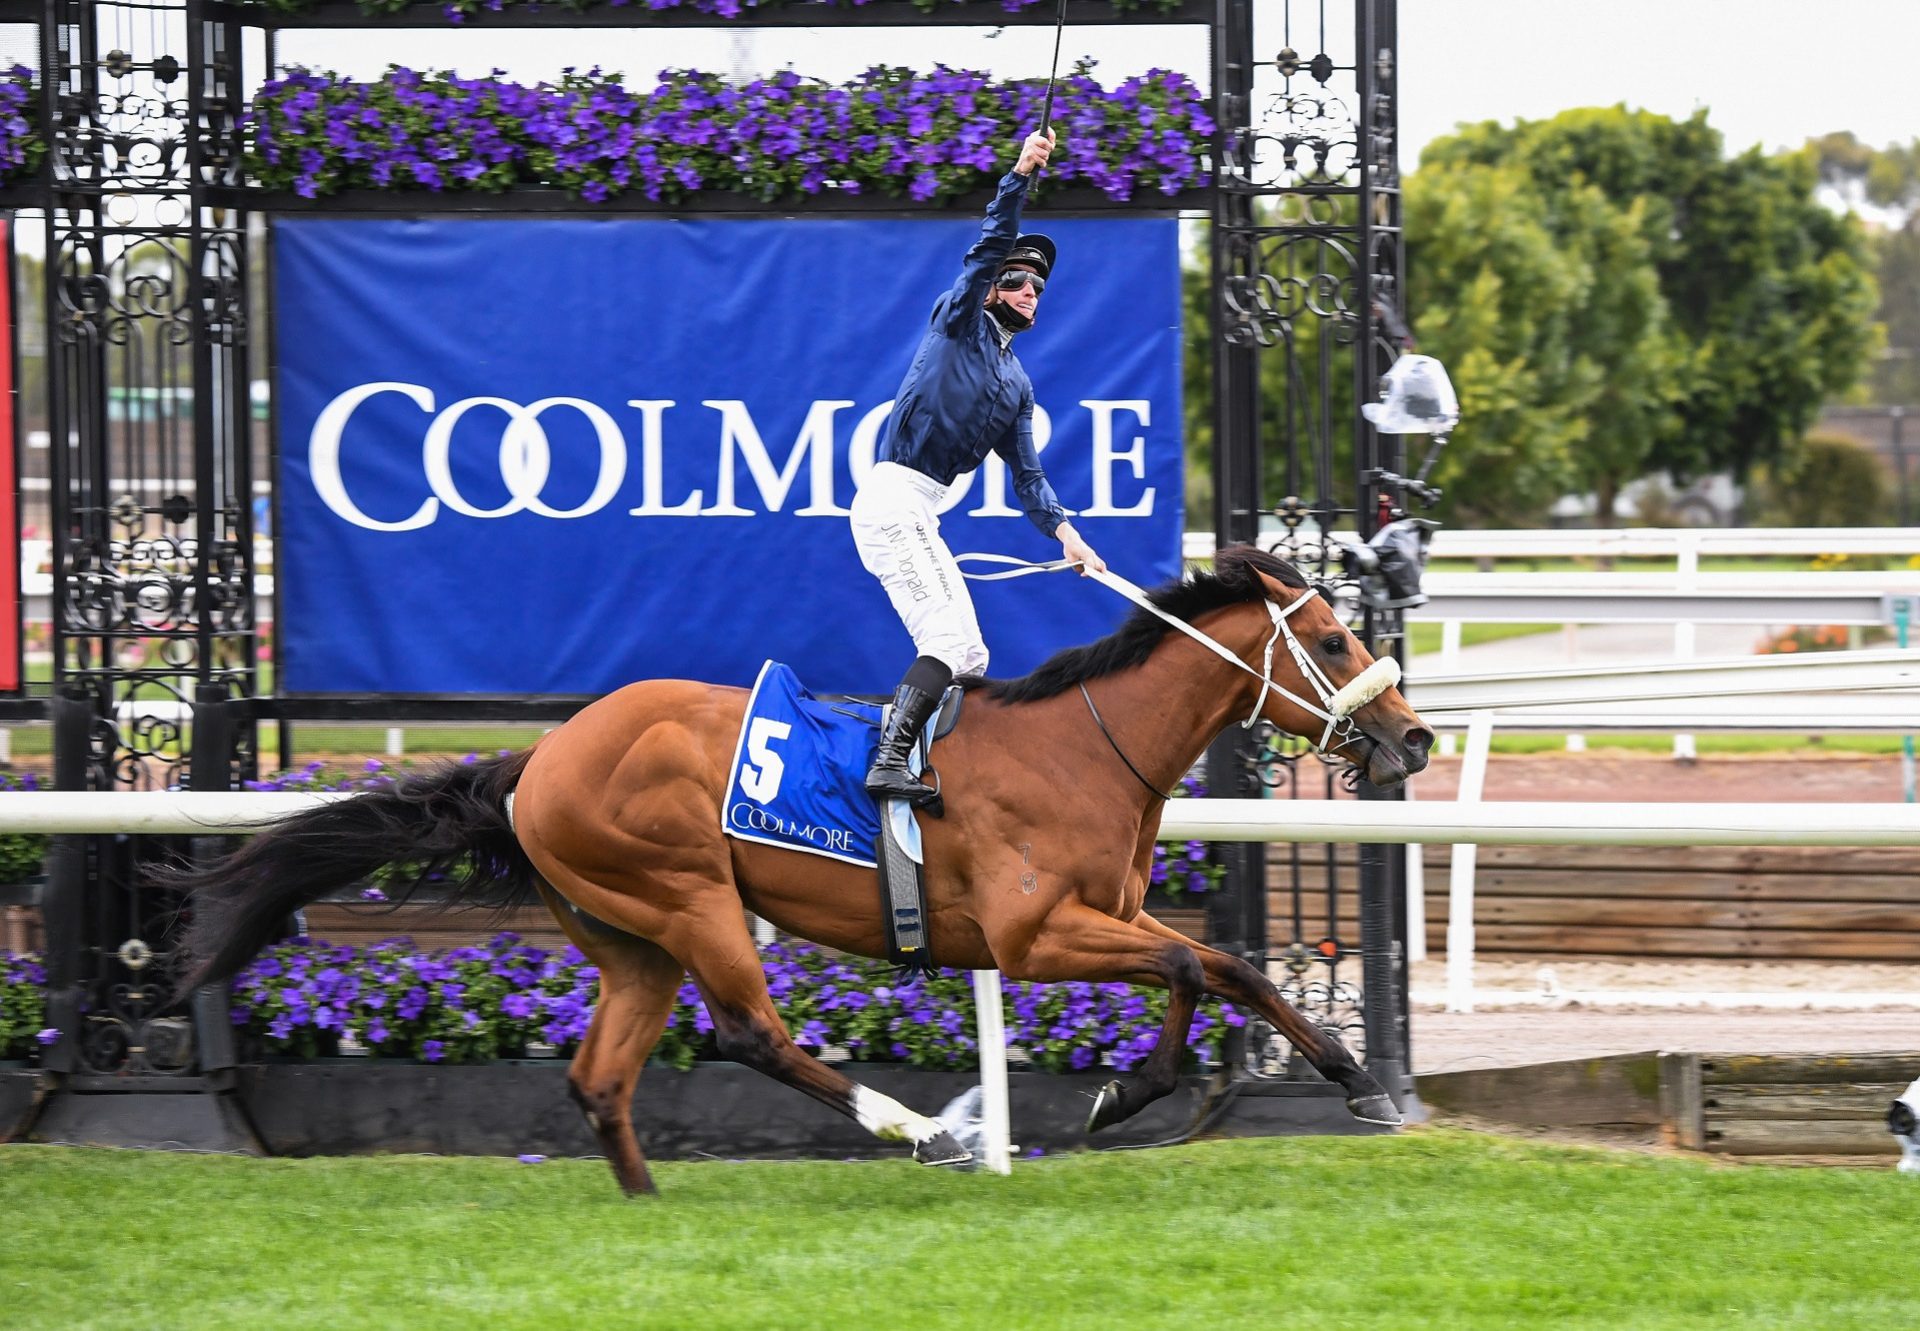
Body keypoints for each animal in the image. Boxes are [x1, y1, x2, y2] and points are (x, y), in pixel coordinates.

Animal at [176, 545, 1428, 1190]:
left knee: (601, 1076)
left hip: (629, 937)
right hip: (689, 896)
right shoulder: (1032, 935)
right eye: (1332, 642)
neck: (1084, 745)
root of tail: (541, 758)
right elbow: (1195, 964)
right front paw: (1134, 1091)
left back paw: (647, 1204)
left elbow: (1225, 968)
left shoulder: (1095, 920)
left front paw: (1342, 1076)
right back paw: (925, 1131)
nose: (1412, 739)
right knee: (751, 1035)